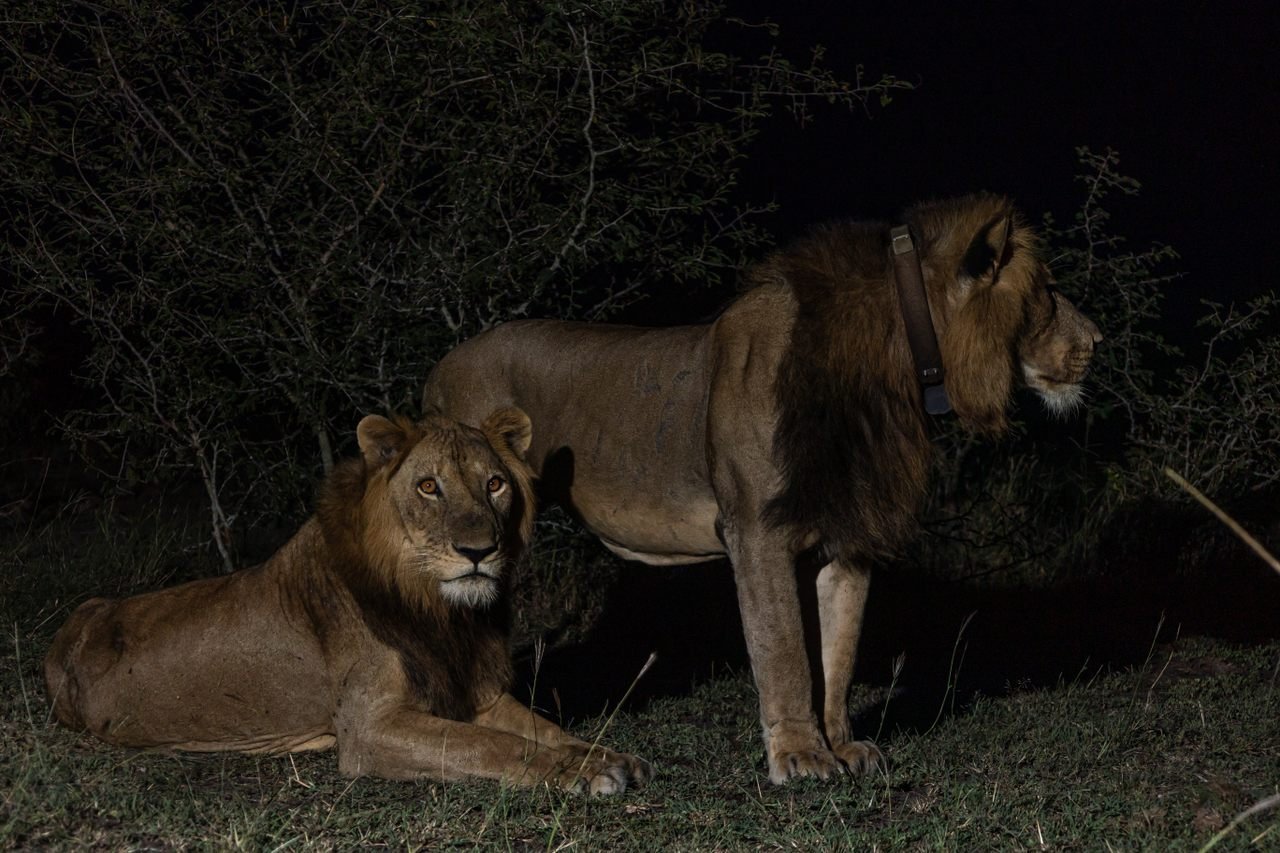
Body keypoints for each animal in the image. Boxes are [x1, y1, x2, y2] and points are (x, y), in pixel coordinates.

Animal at [43, 404, 650, 788]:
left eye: (495, 484)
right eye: (429, 486)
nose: (479, 551)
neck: (440, 611)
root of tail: (72, 628)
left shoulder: (475, 693)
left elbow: (545, 729)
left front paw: (604, 756)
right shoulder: (369, 729)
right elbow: (494, 746)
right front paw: (585, 773)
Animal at [422, 194, 1100, 783]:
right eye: (1047, 292)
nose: (1096, 342)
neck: (891, 372)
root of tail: (441, 365)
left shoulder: (849, 534)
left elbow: (838, 653)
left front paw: (842, 746)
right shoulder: (756, 529)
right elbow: (785, 651)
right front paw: (800, 757)